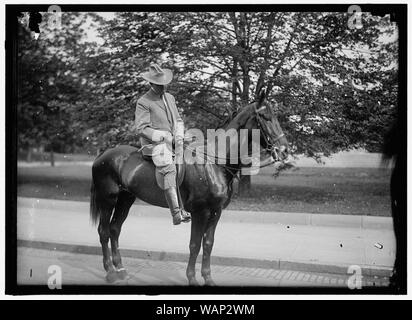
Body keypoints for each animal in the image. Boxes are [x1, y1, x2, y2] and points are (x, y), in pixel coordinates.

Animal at [90, 89, 290, 284]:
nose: (285, 150)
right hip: (108, 199)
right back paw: (110, 272)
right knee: (104, 231)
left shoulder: (216, 211)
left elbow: (208, 243)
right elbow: (194, 245)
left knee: (115, 229)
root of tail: (102, 156)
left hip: (126, 199)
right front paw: (192, 278)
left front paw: (208, 278)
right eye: (265, 117)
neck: (214, 163)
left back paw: (121, 270)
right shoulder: (200, 212)